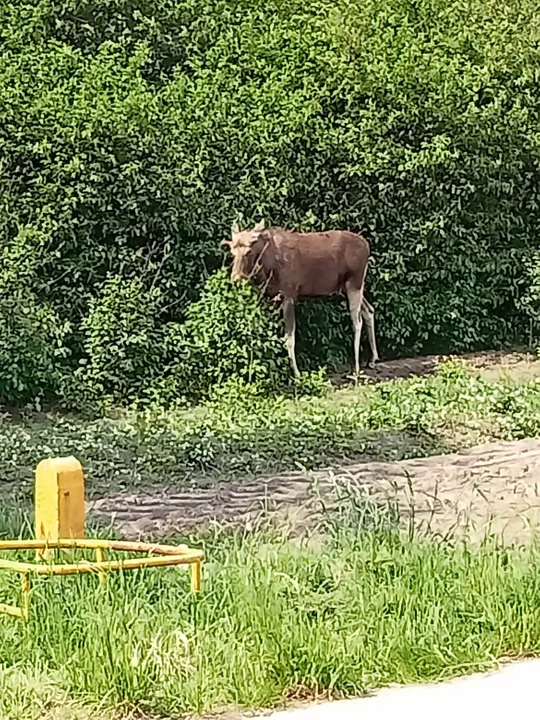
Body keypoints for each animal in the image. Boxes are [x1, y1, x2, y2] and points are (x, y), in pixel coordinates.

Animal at [224, 219, 380, 376]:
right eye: (232, 252)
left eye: (248, 251)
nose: (236, 278)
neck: (267, 269)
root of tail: (367, 246)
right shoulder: (273, 298)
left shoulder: (289, 294)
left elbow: (289, 337)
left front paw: (297, 373)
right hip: (347, 286)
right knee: (369, 310)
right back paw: (373, 359)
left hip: (355, 281)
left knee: (357, 320)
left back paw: (357, 368)